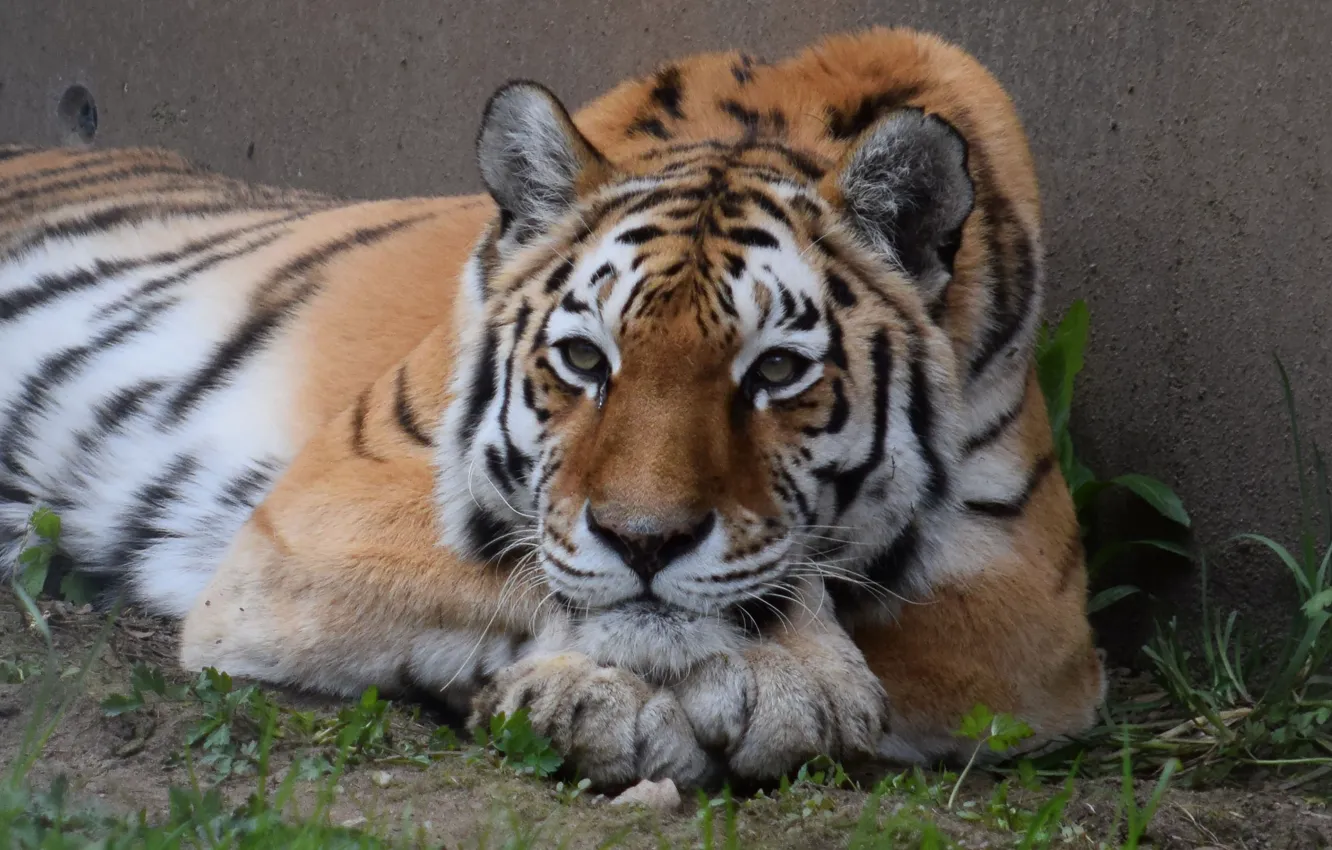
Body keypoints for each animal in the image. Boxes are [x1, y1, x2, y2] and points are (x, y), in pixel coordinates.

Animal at [0, 27, 1104, 788]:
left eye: (777, 372)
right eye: (583, 358)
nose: (645, 541)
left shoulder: (1032, 611)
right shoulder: (322, 510)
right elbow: (534, 570)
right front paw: (696, 687)